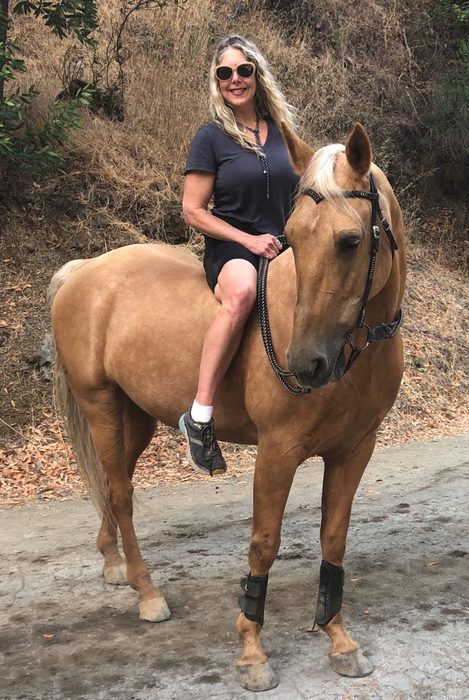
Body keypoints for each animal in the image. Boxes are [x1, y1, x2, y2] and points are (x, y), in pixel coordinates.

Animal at [49, 123, 406, 692]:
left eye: (350, 242)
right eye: (295, 239)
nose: (305, 364)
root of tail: (86, 270)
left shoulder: (355, 451)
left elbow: (333, 539)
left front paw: (338, 638)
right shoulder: (278, 452)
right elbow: (264, 542)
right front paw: (252, 652)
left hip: (135, 418)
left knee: (109, 482)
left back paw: (113, 563)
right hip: (100, 405)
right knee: (122, 494)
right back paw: (147, 592)